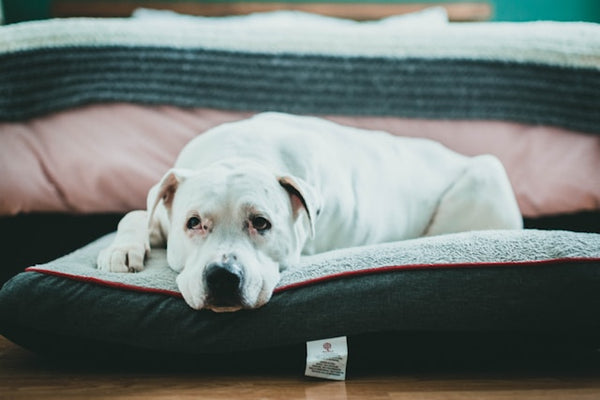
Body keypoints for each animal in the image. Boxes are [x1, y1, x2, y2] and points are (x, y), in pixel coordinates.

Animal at [97, 112, 520, 312]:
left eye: (261, 223)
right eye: (193, 223)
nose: (223, 276)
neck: (239, 153)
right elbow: (135, 214)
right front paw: (121, 249)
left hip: (486, 173)